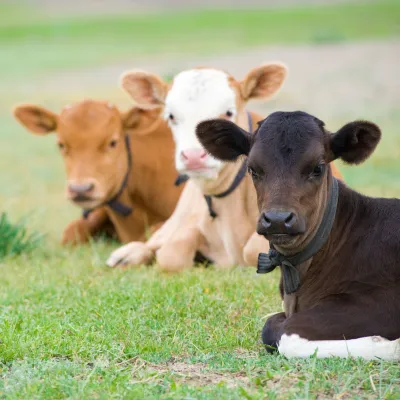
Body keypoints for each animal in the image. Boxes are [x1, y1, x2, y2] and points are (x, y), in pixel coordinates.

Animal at [197, 111, 400, 360]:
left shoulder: (380, 302)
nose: (277, 219)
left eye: (317, 168)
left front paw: (388, 345)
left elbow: (287, 335)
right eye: (252, 169)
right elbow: (271, 325)